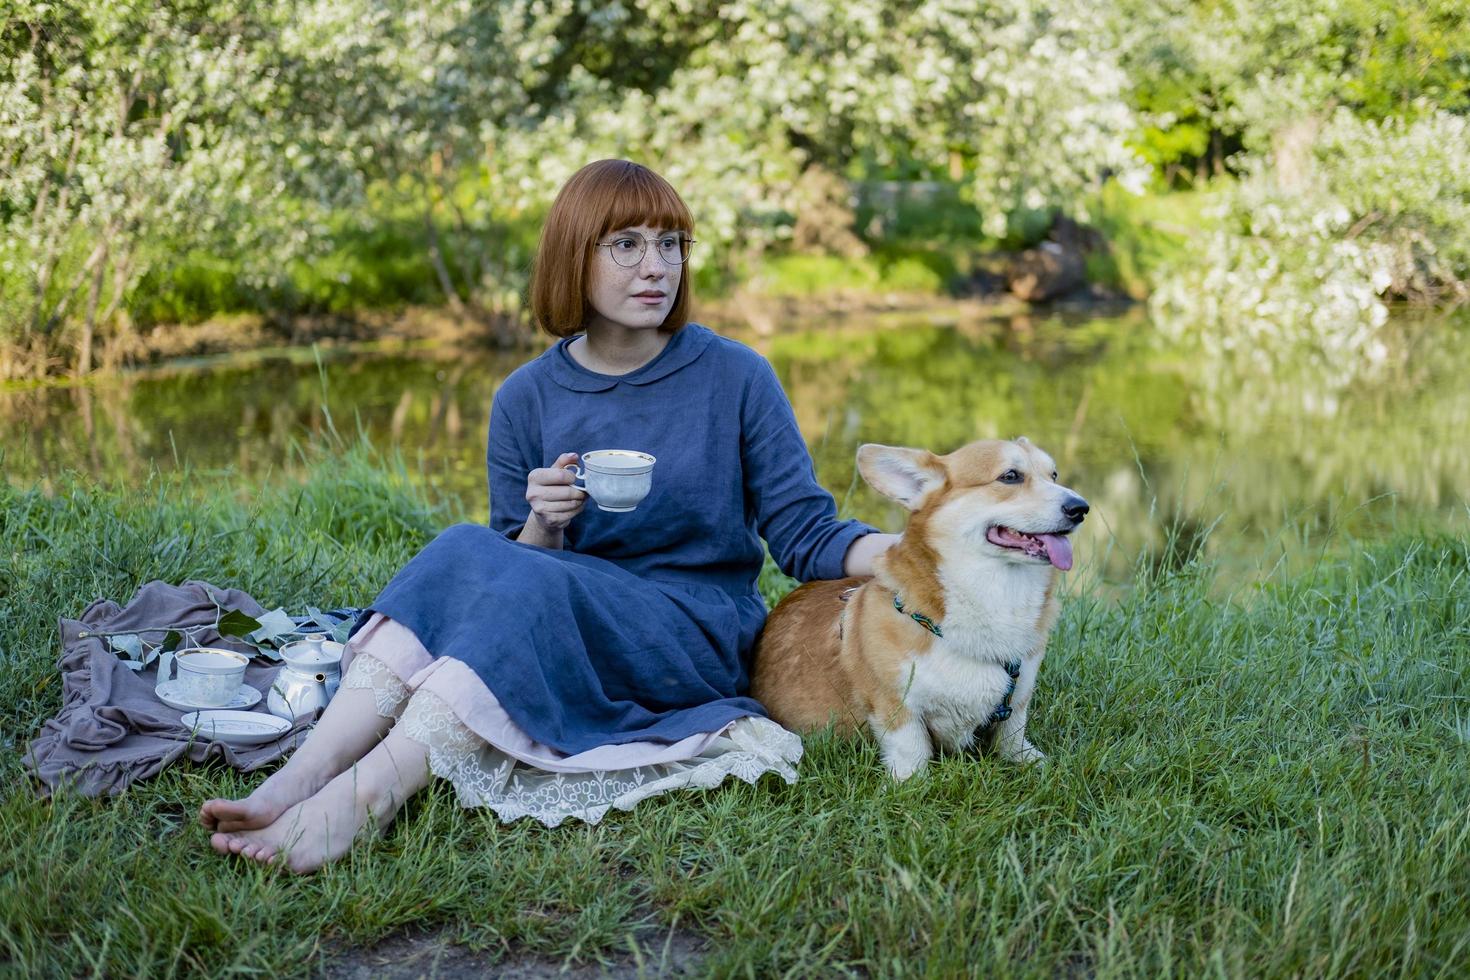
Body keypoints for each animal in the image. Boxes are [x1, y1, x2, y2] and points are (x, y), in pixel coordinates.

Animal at [752, 440, 1087, 775]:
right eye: (1010, 476)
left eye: (1053, 475)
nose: (1080, 508)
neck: (997, 595)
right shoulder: (895, 705)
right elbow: (912, 748)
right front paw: (910, 780)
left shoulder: (1018, 699)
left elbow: (1012, 734)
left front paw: (1031, 761)